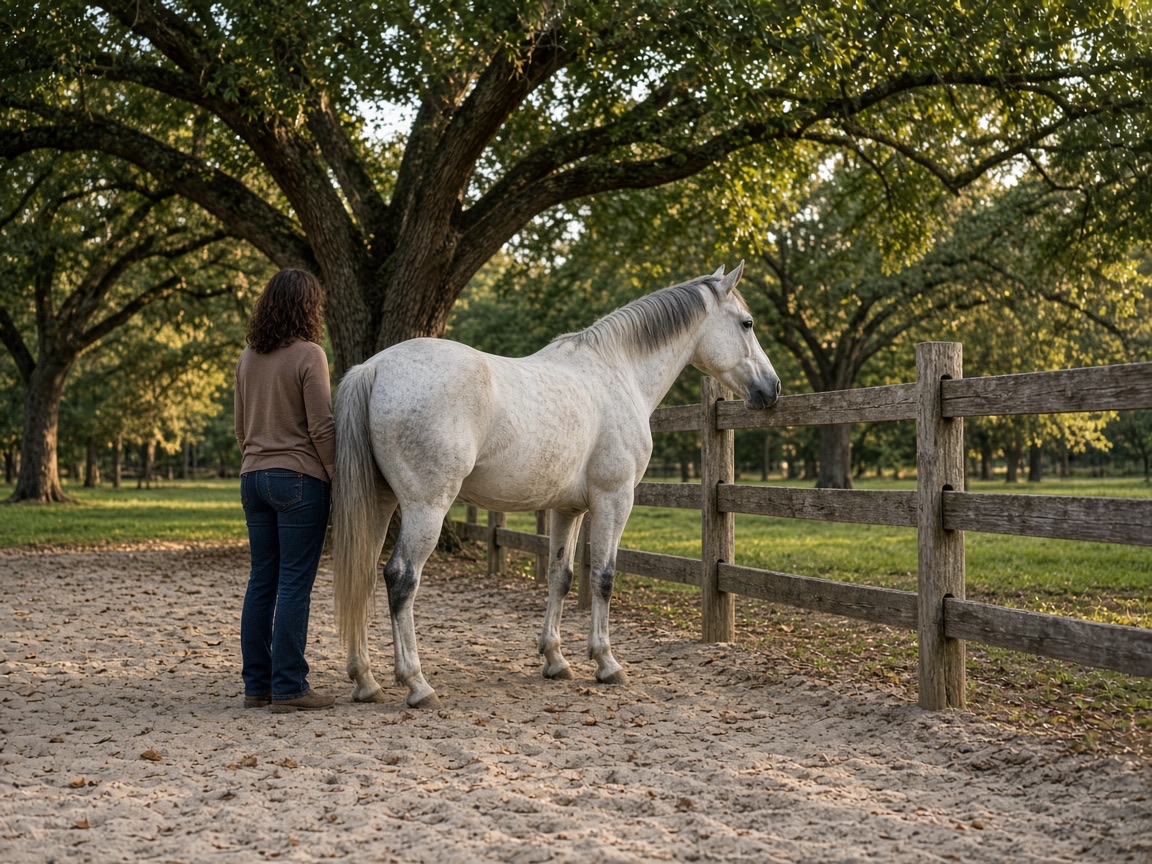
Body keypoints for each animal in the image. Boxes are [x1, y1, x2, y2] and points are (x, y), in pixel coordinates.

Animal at [331, 263, 780, 708]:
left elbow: (560, 576)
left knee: (363, 576)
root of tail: (374, 368)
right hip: (427, 507)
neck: (618, 372)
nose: (771, 388)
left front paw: (554, 658)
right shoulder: (614, 499)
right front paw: (606, 662)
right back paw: (416, 683)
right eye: (747, 323)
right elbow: (603, 576)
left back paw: (365, 680)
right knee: (401, 578)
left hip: (380, 504)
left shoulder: (569, 509)